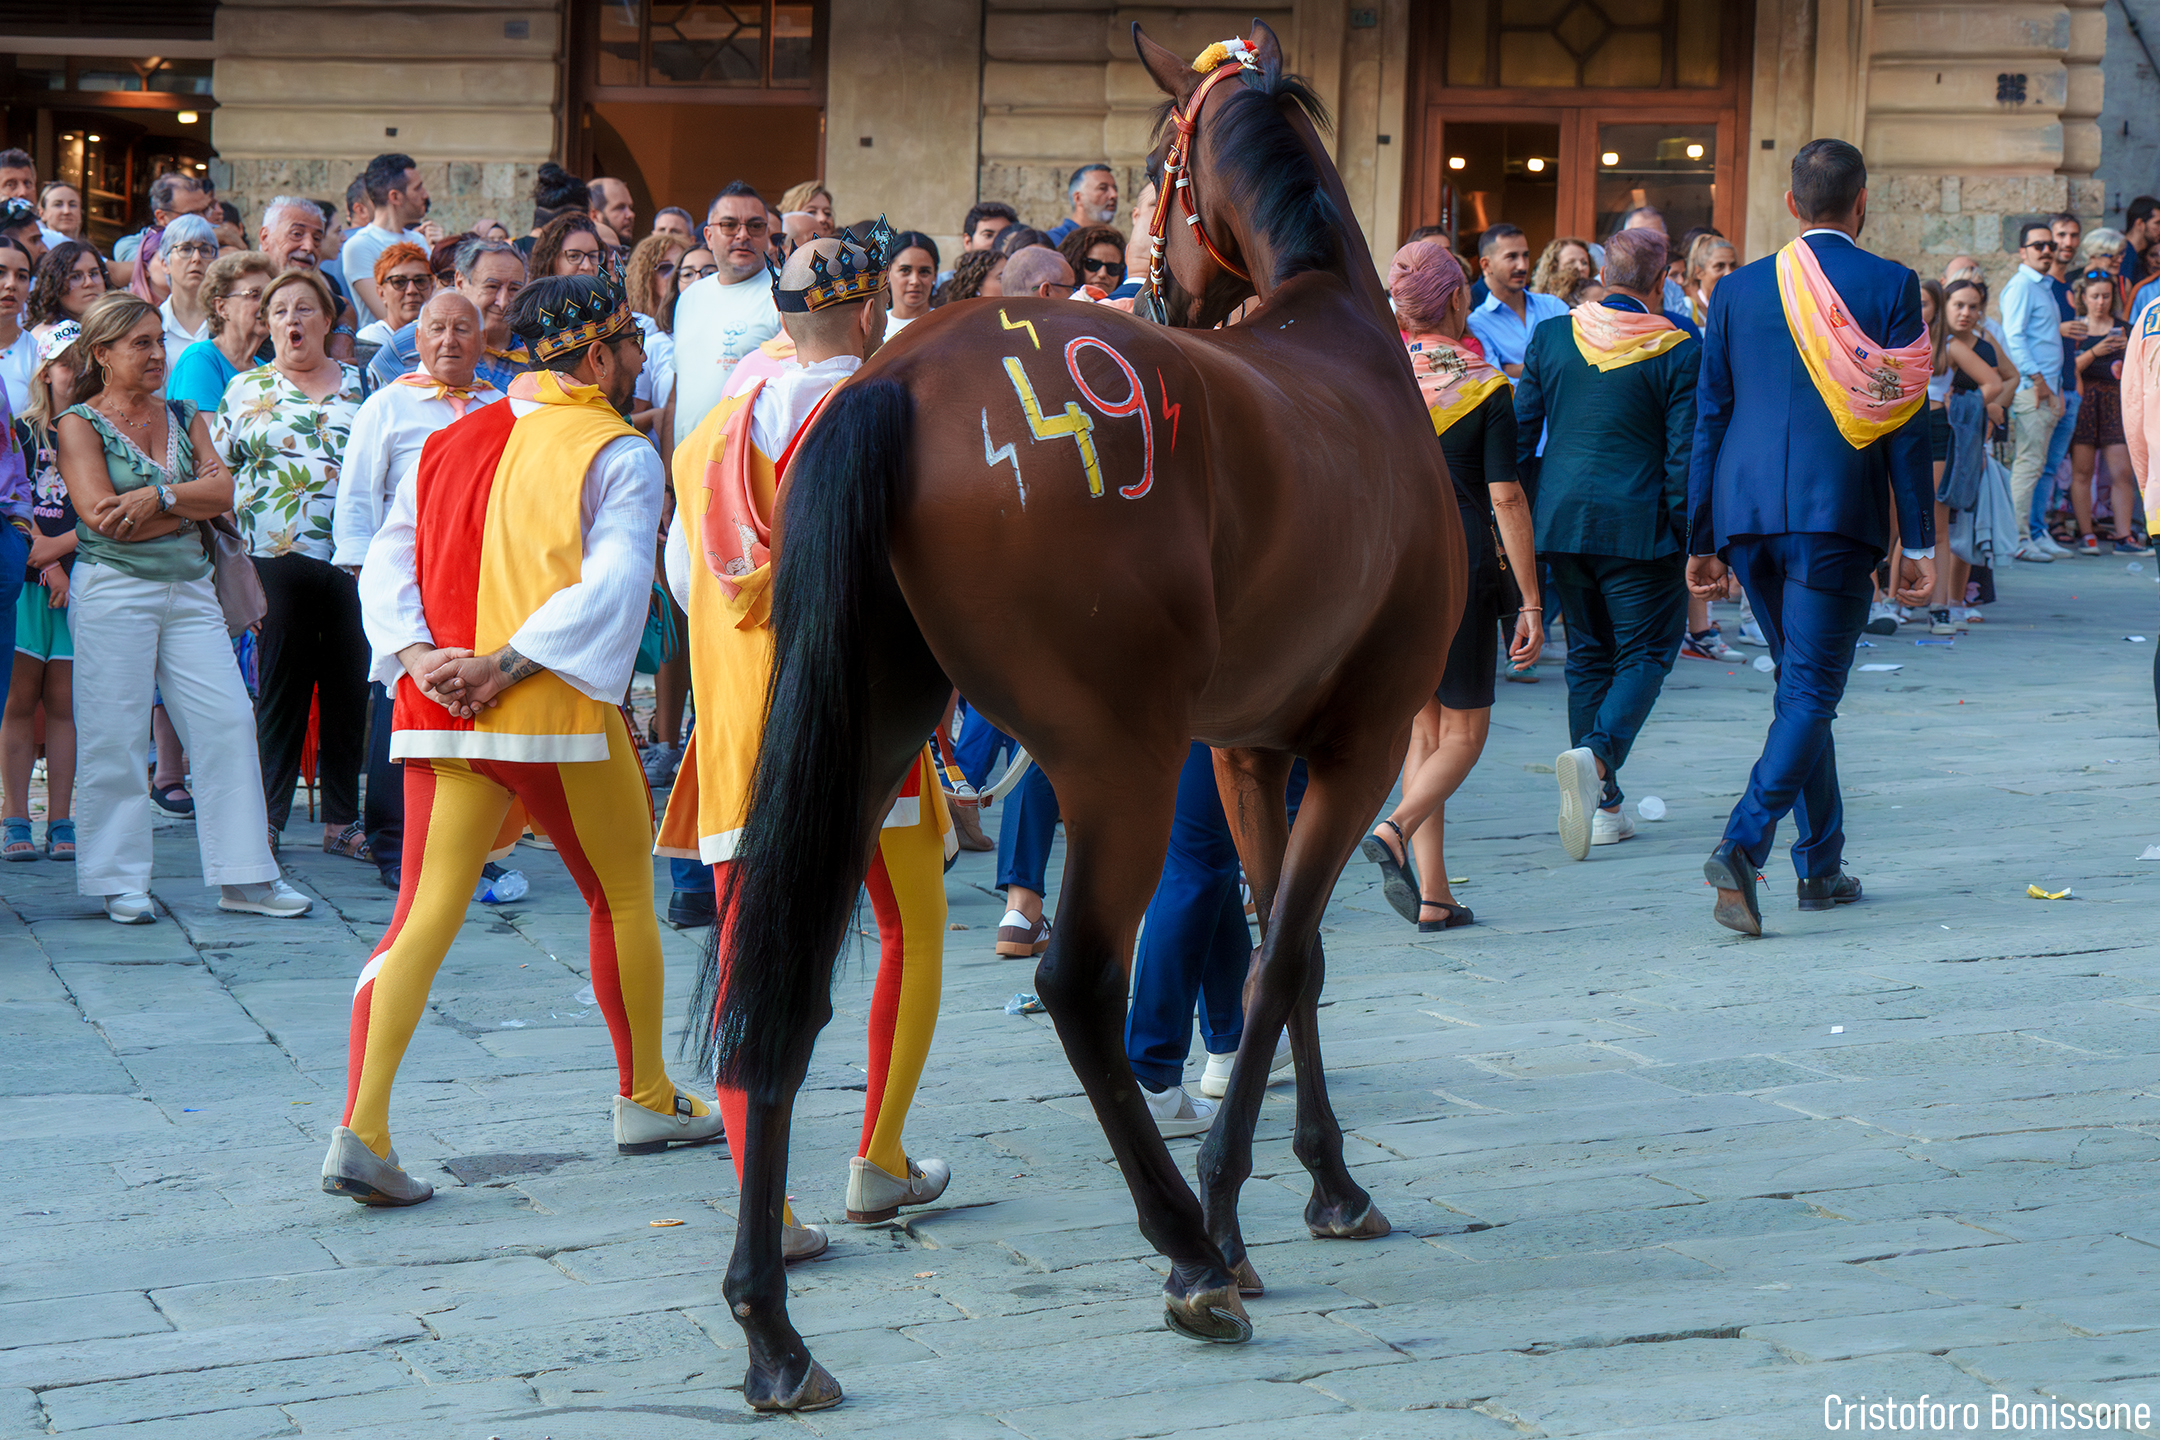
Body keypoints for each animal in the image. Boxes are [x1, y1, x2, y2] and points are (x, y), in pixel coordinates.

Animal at [696, 19, 1466, 1412]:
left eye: (1156, 162)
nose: (1158, 292)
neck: (1333, 326)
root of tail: (894, 380)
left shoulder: (1246, 751)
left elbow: (1284, 956)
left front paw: (1324, 1181)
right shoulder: (1354, 744)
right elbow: (1282, 959)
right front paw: (1239, 1208)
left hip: (870, 738)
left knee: (781, 992)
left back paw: (774, 1334)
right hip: (1118, 765)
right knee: (1078, 980)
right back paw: (1186, 1254)